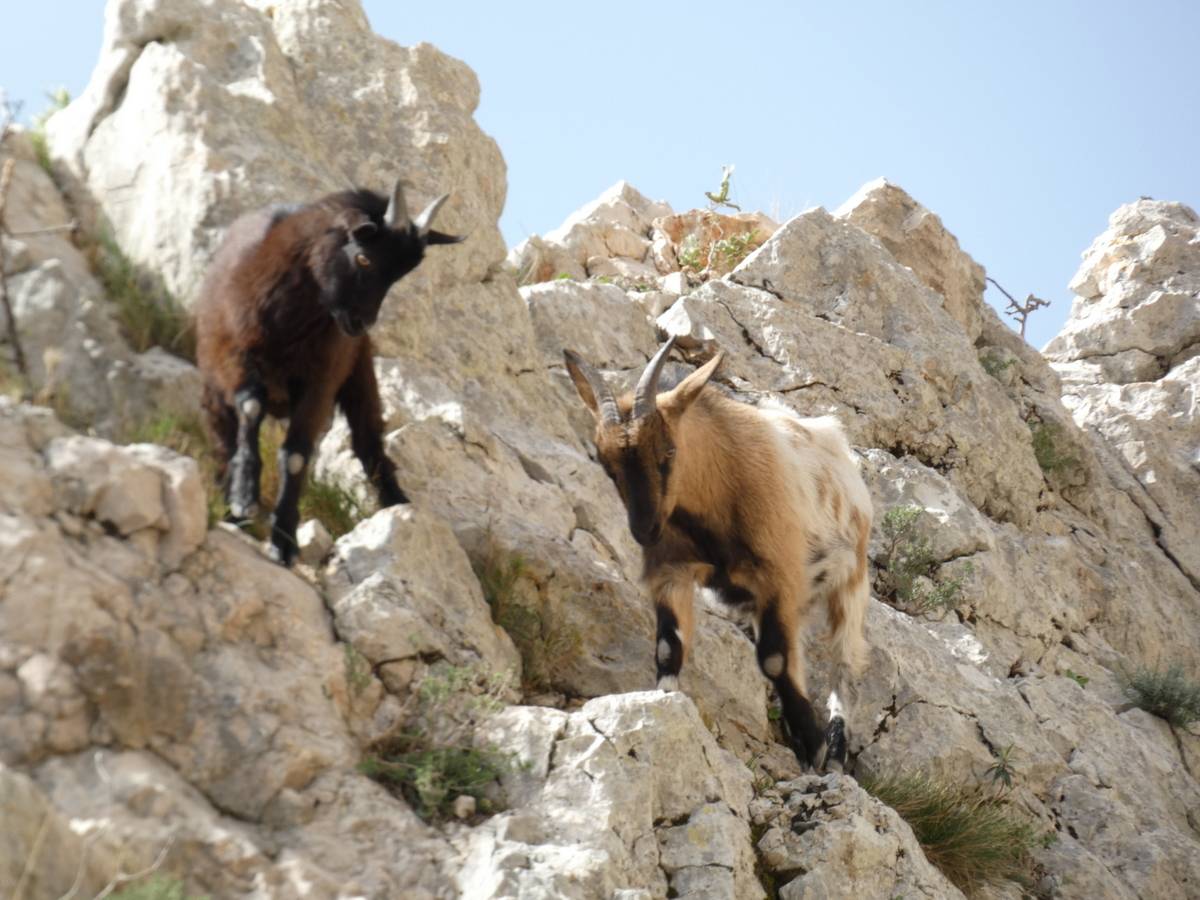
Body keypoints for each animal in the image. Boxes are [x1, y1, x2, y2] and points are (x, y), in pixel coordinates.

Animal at [194, 180, 460, 566]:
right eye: (364, 257)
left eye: (399, 276)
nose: (362, 323)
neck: (290, 321)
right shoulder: (234, 355)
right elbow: (251, 407)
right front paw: (244, 496)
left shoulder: (320, 382)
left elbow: (296, 455)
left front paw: (284, 540)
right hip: (214, 389)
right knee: (223, 438)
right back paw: (232, 508)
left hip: (359, 376)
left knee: (368, 442)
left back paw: (397, 505)